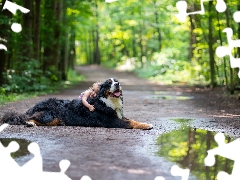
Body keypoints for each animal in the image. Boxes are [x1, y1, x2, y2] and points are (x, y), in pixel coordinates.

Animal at [0, 78, 154, 130]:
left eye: (116, 81)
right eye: (109, 83)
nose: (117, 84)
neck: (108, 102)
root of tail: (33, 107)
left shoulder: (118, 116)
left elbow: (133, 120)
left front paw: (145, 123)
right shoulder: (112, 121)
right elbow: (131, 123)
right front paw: (146, 126)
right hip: (48, 114)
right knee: (27, 118)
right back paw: (30, 123)